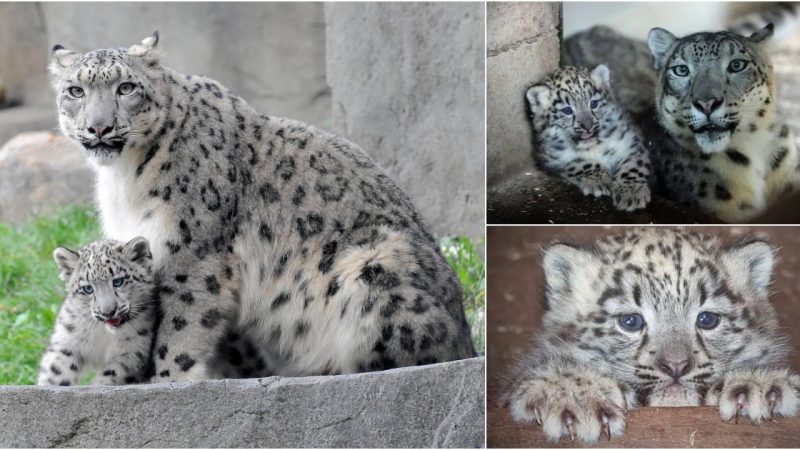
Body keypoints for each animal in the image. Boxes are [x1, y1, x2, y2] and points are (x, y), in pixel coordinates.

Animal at [38, 237, 156, 384]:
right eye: (88, 288)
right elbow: (55, 372)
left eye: (118, 281)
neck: (104, 334)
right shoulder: (66, 342)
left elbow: (111, 375)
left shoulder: (134, 352)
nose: (108, 312)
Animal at [50, 33, 476, 382]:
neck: (124, 178)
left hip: (375, 262)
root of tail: (467, 338)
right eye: (75, 90)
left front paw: (166, 380)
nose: (99, 127)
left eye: (126, 87)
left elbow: (181, 327)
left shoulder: (194, 252)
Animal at [528, 64, 652, 211]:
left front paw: (631, 193)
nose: (588, 126)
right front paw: (600, 181)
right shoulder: (555, 157)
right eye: (567, 110)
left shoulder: (631, 144)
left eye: (593, 103)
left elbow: (633, 168)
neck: (593, 147)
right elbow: (580, 163)